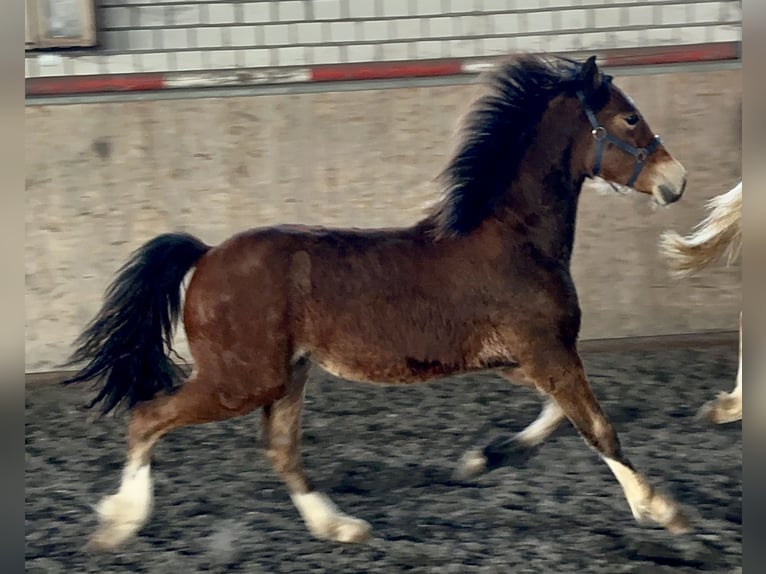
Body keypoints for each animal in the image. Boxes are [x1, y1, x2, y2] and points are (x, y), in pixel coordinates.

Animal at [64, 55, 688, 552]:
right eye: (629, 118)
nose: (675, 180)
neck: (515, 238)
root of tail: (208, 252)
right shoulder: (546, 352)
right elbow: (596, 424)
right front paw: (660, 509)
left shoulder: (522, 360)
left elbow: (561, 415)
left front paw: (483, 458)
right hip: (243, 379)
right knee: (149, 417)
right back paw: (118, 524)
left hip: (288, 375)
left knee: (280, 450)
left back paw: (340, 527)